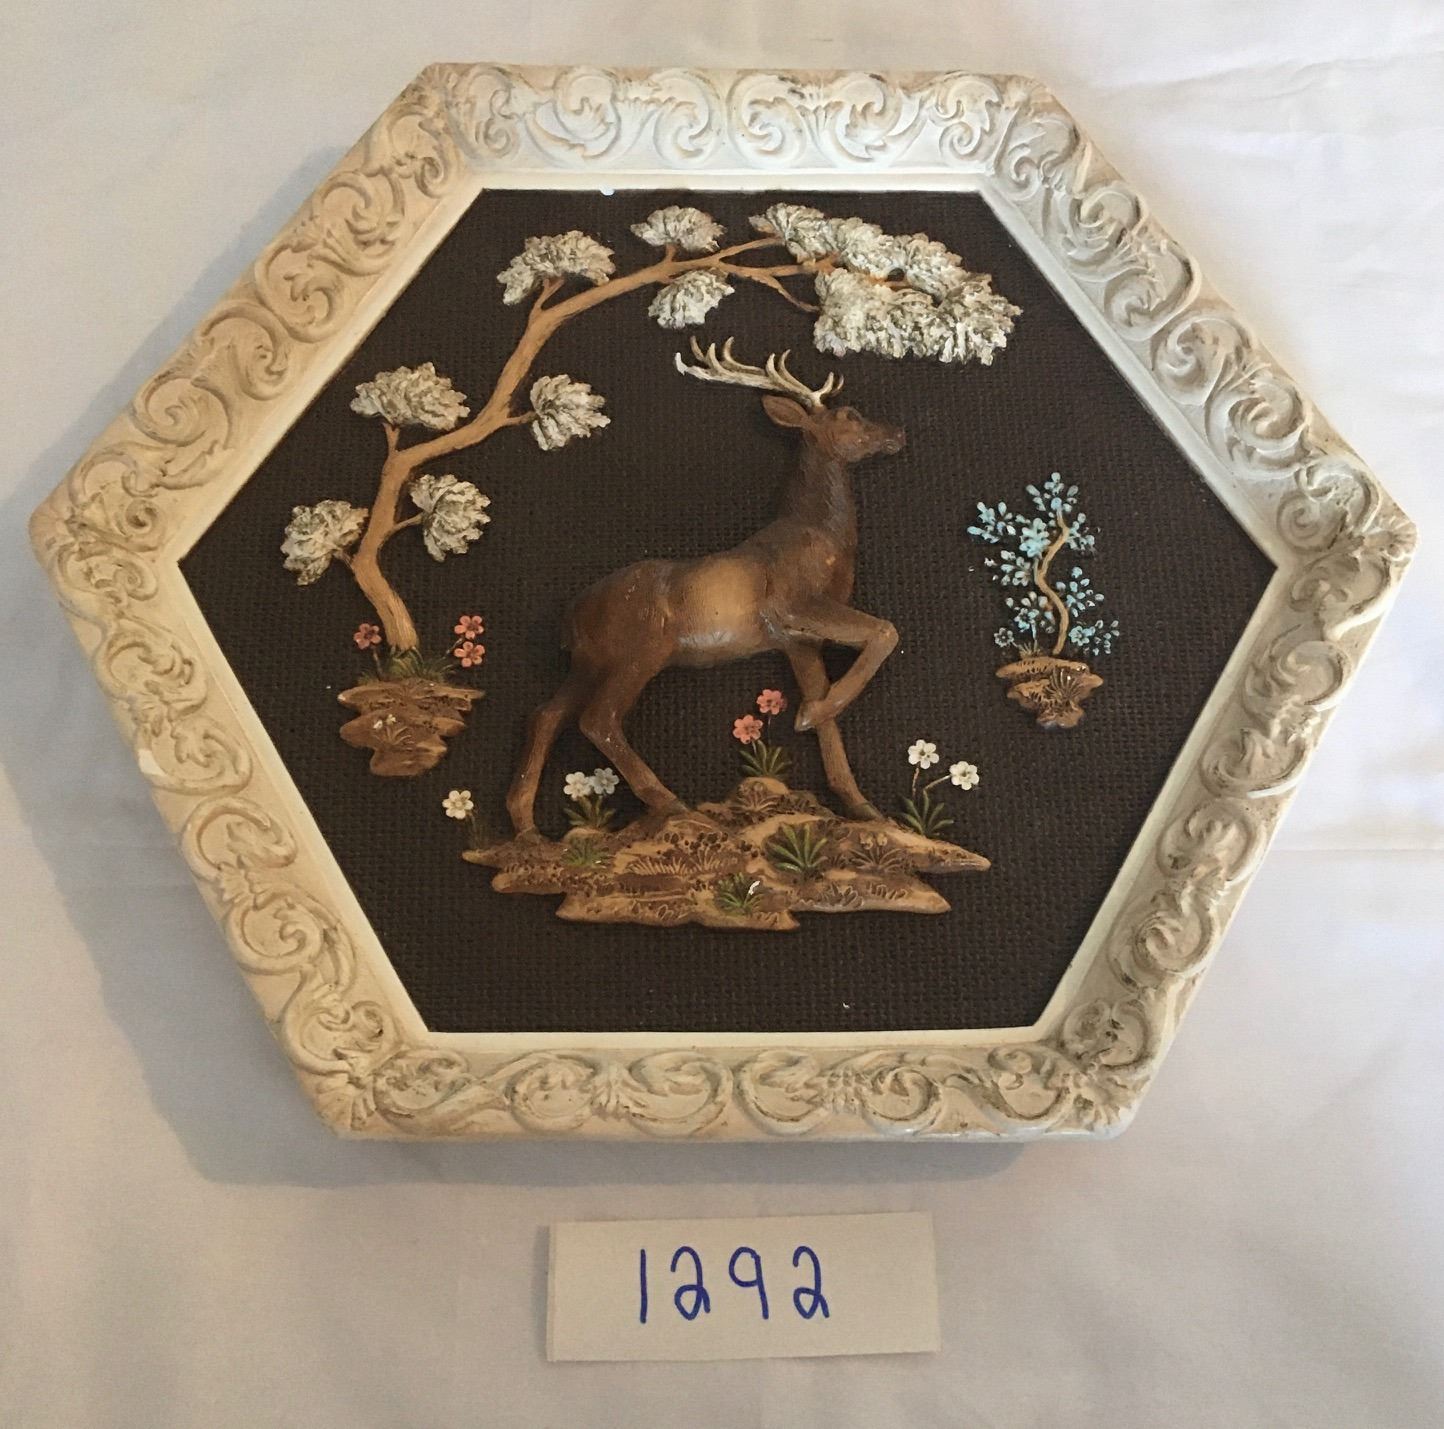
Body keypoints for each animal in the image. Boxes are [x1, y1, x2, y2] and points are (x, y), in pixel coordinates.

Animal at [505, 338, 907, 839]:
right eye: (849, 415)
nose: (898, 433)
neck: (822, 535)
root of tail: (572, 617)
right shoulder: (792, 604)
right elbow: (885, 632)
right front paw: (807, 715)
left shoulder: (798, 640)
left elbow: (828, 713)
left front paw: (861, 804)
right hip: (642, 649)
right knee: (598, 720)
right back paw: (670, 802)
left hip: (590, 662)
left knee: (545, 715)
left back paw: (524, 824)